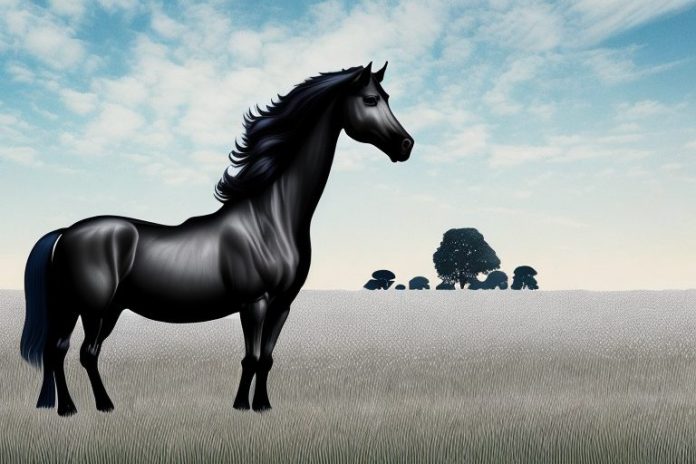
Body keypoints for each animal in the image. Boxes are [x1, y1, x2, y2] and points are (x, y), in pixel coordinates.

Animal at [20, 62, 413, 416]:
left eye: (386, 97)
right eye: (370, 99)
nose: (406, 145)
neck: (270, 219)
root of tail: (65, 233)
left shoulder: (282, 304)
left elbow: (267, 358)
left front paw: (263, 406)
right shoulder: (255, 302)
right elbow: (251, 357)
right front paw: (241, 407)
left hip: (97, 309)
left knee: (66, 352)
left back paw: (81, 407)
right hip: (89, 308)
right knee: (77, 353)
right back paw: (84, 408)